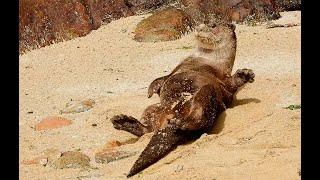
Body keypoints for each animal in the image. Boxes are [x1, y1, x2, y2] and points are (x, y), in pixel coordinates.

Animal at [110, 22, 255, 177]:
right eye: (204, 22)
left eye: (213, 25)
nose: (200, 27)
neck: (205, 60)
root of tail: (171, 119)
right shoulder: (176, 69)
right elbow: (163, 78)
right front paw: (151, 90)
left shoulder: (222, 80)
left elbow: (229, 87)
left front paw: (244, 74)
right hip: (154, 108)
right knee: (147, 129)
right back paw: (123, 121)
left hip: (206, 95)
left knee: (201, 116)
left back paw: (182, 123)